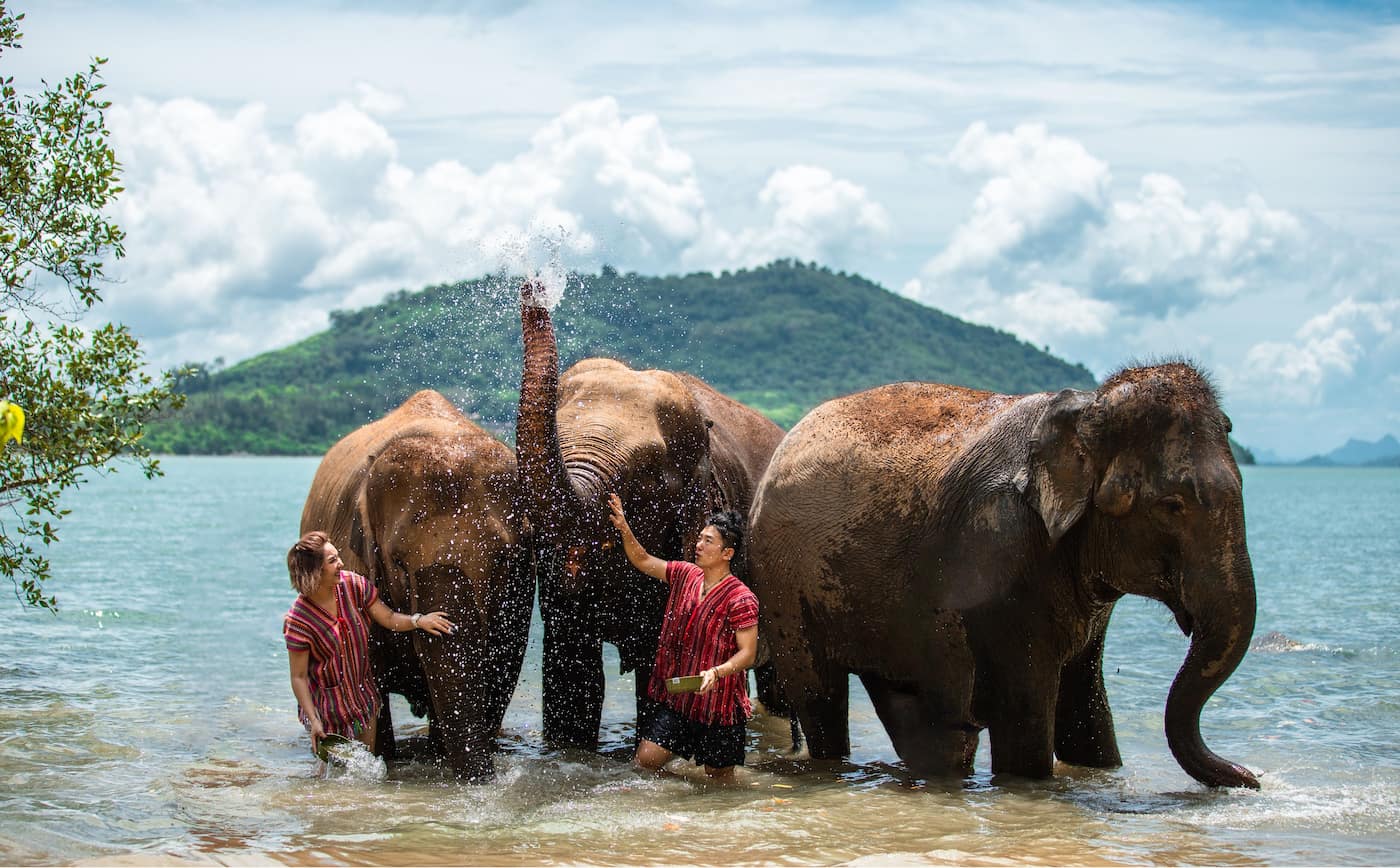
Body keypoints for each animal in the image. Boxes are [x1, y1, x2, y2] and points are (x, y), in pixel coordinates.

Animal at [748, 361, 1259, 788]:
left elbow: (1088, 712)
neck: (1085, 411)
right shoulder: (1001, 553)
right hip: (786, 587)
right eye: (1172, 506)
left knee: (928, 722)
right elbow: (1025, 717)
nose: (1251, 778)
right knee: (820, 698)